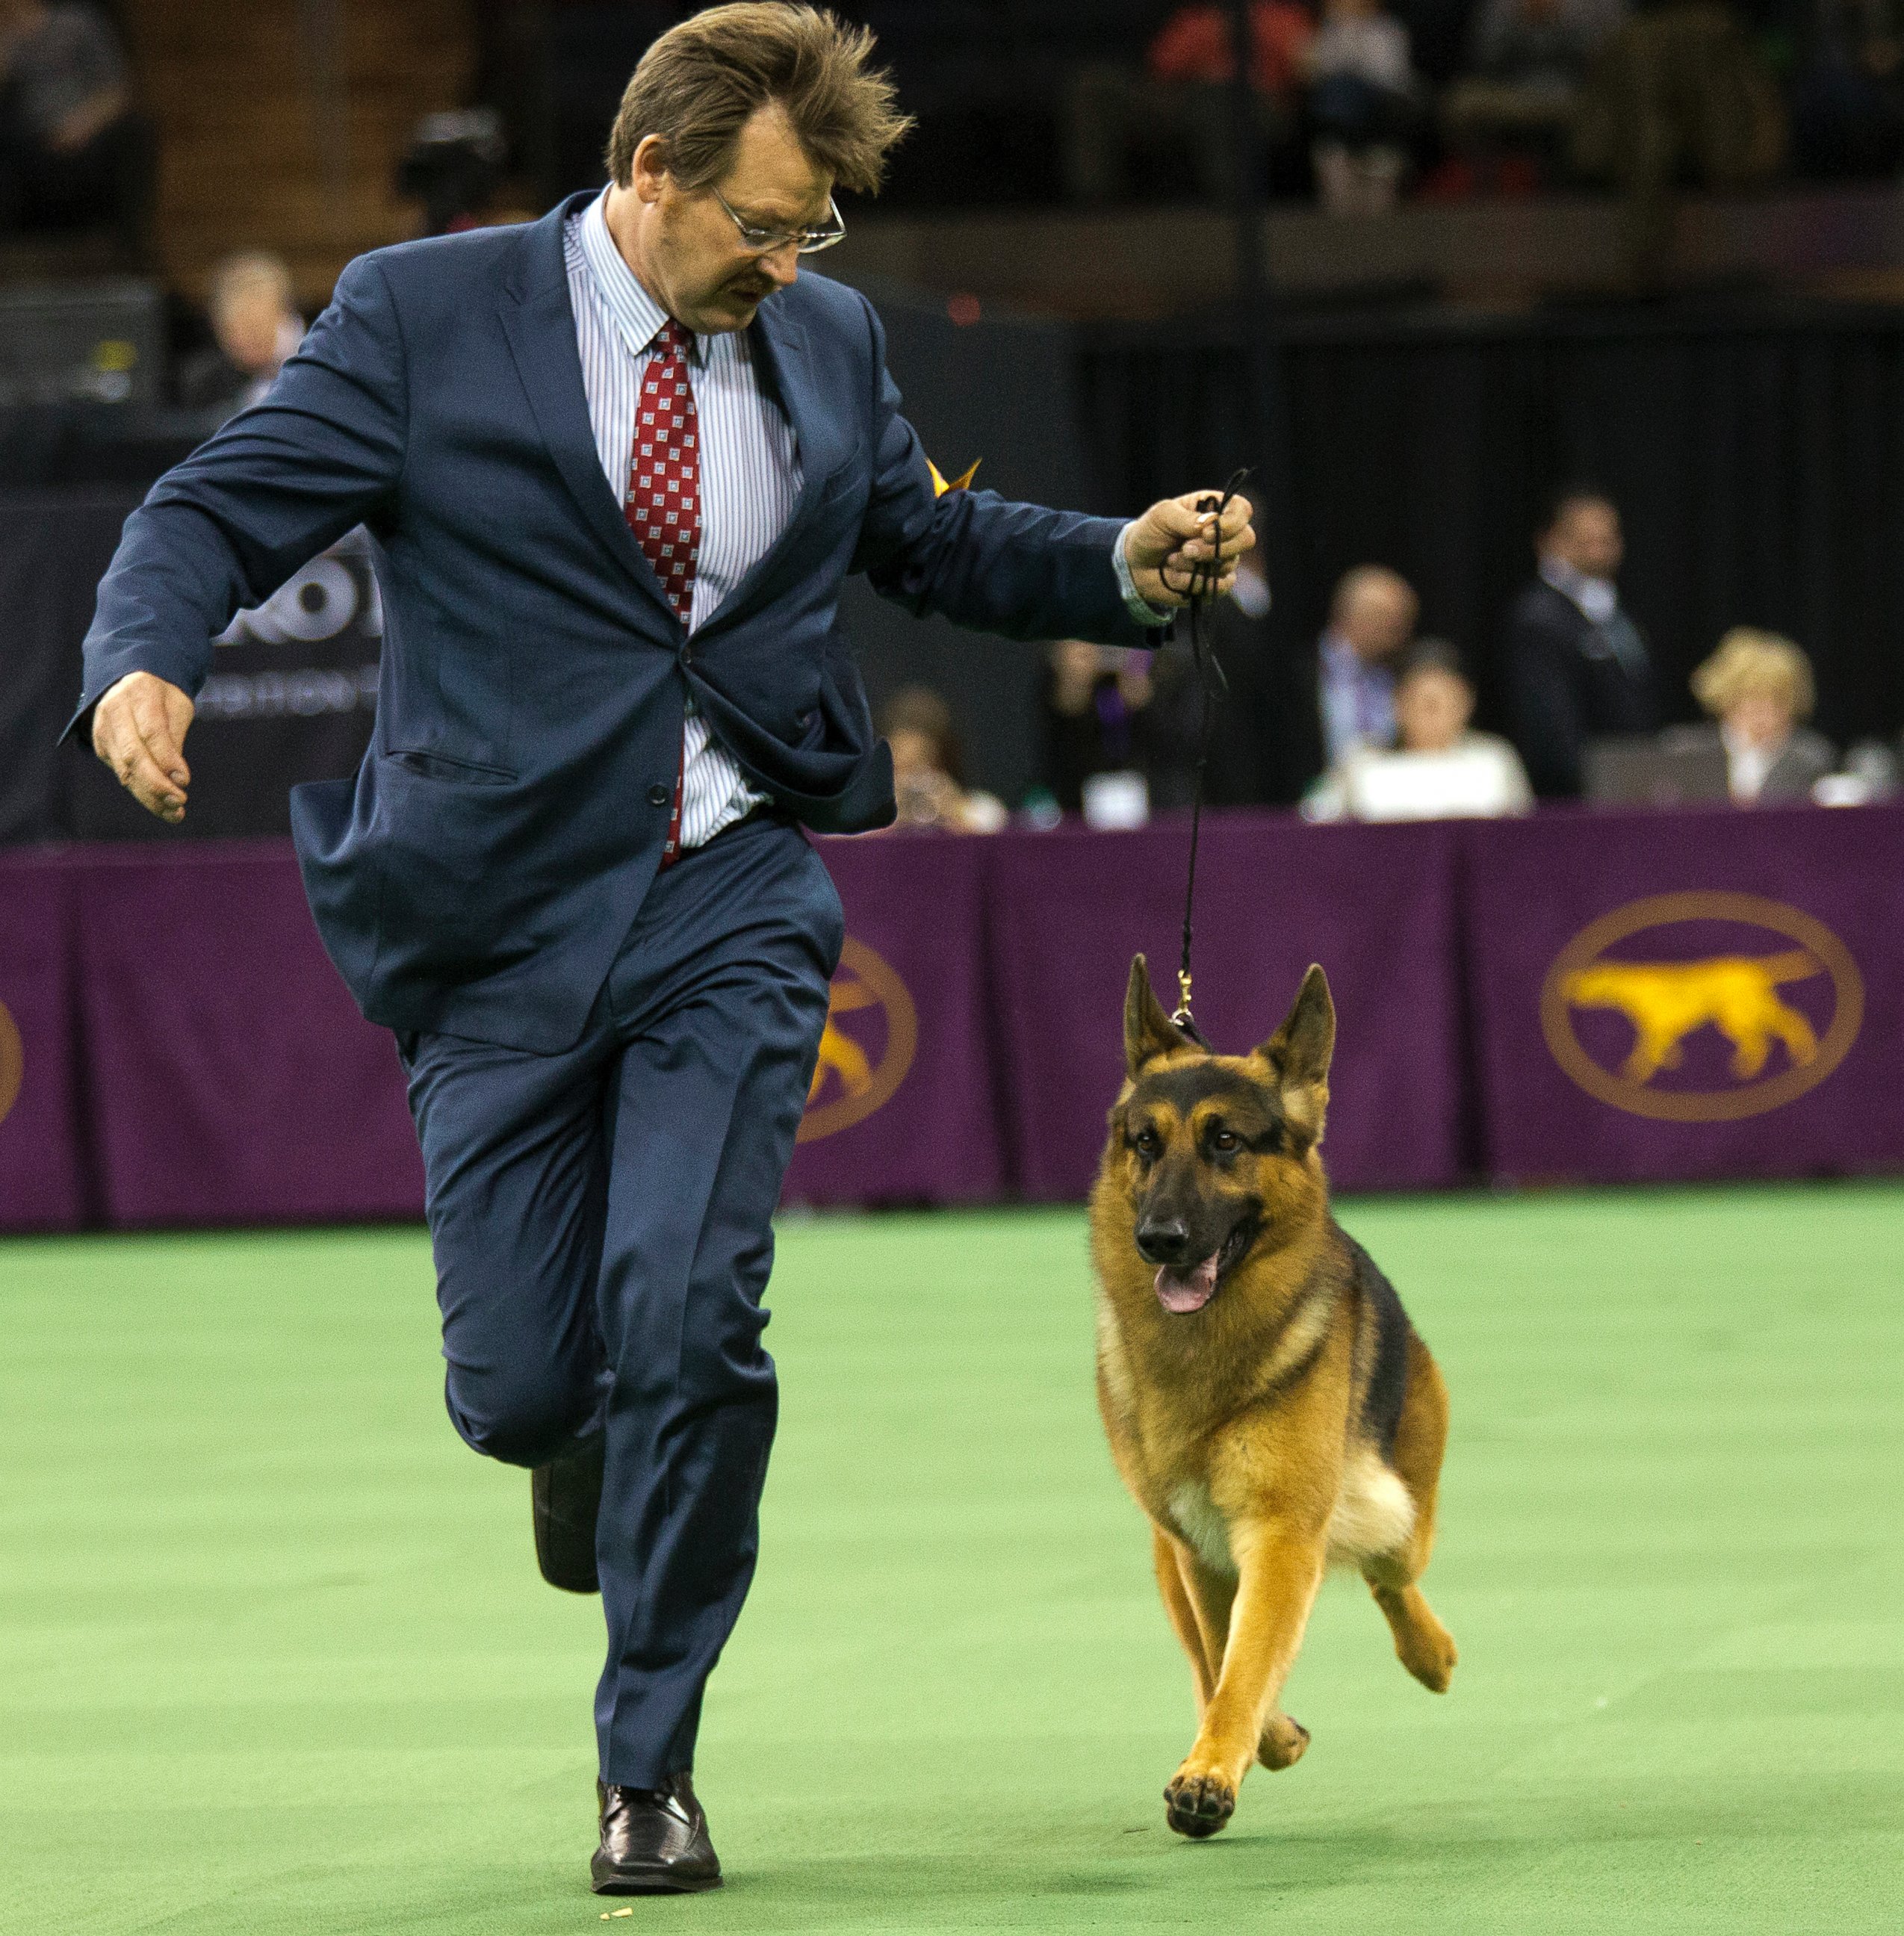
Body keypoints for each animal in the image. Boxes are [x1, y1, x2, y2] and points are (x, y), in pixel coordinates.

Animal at [1085, 960, 1456, 1835]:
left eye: (1225, 1141)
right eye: (1145, 1143)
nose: (1158, 1240)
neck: (1204, 1354)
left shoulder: (1280, 1534)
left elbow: (1245, 1661)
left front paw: (1215, 1767)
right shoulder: (1200, 1547)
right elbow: (1226, 1655)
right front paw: (1252, 1744)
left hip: (1396, 1512)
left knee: (1391, 1575)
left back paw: (1431, 1655)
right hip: (1169, 1554)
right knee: (1202, 1650)